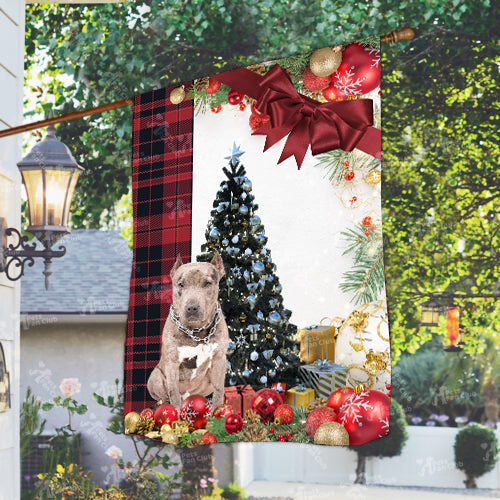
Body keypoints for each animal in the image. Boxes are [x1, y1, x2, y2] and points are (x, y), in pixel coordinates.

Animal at [146, 252, 229, 412]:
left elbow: (219, 391)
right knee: (165, 397)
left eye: (207, 283)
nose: (191, 308)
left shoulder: (219, 360)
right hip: (155, 377)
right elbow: (173, 392)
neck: (196, 331)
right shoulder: (172, 362)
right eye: (181, 284)